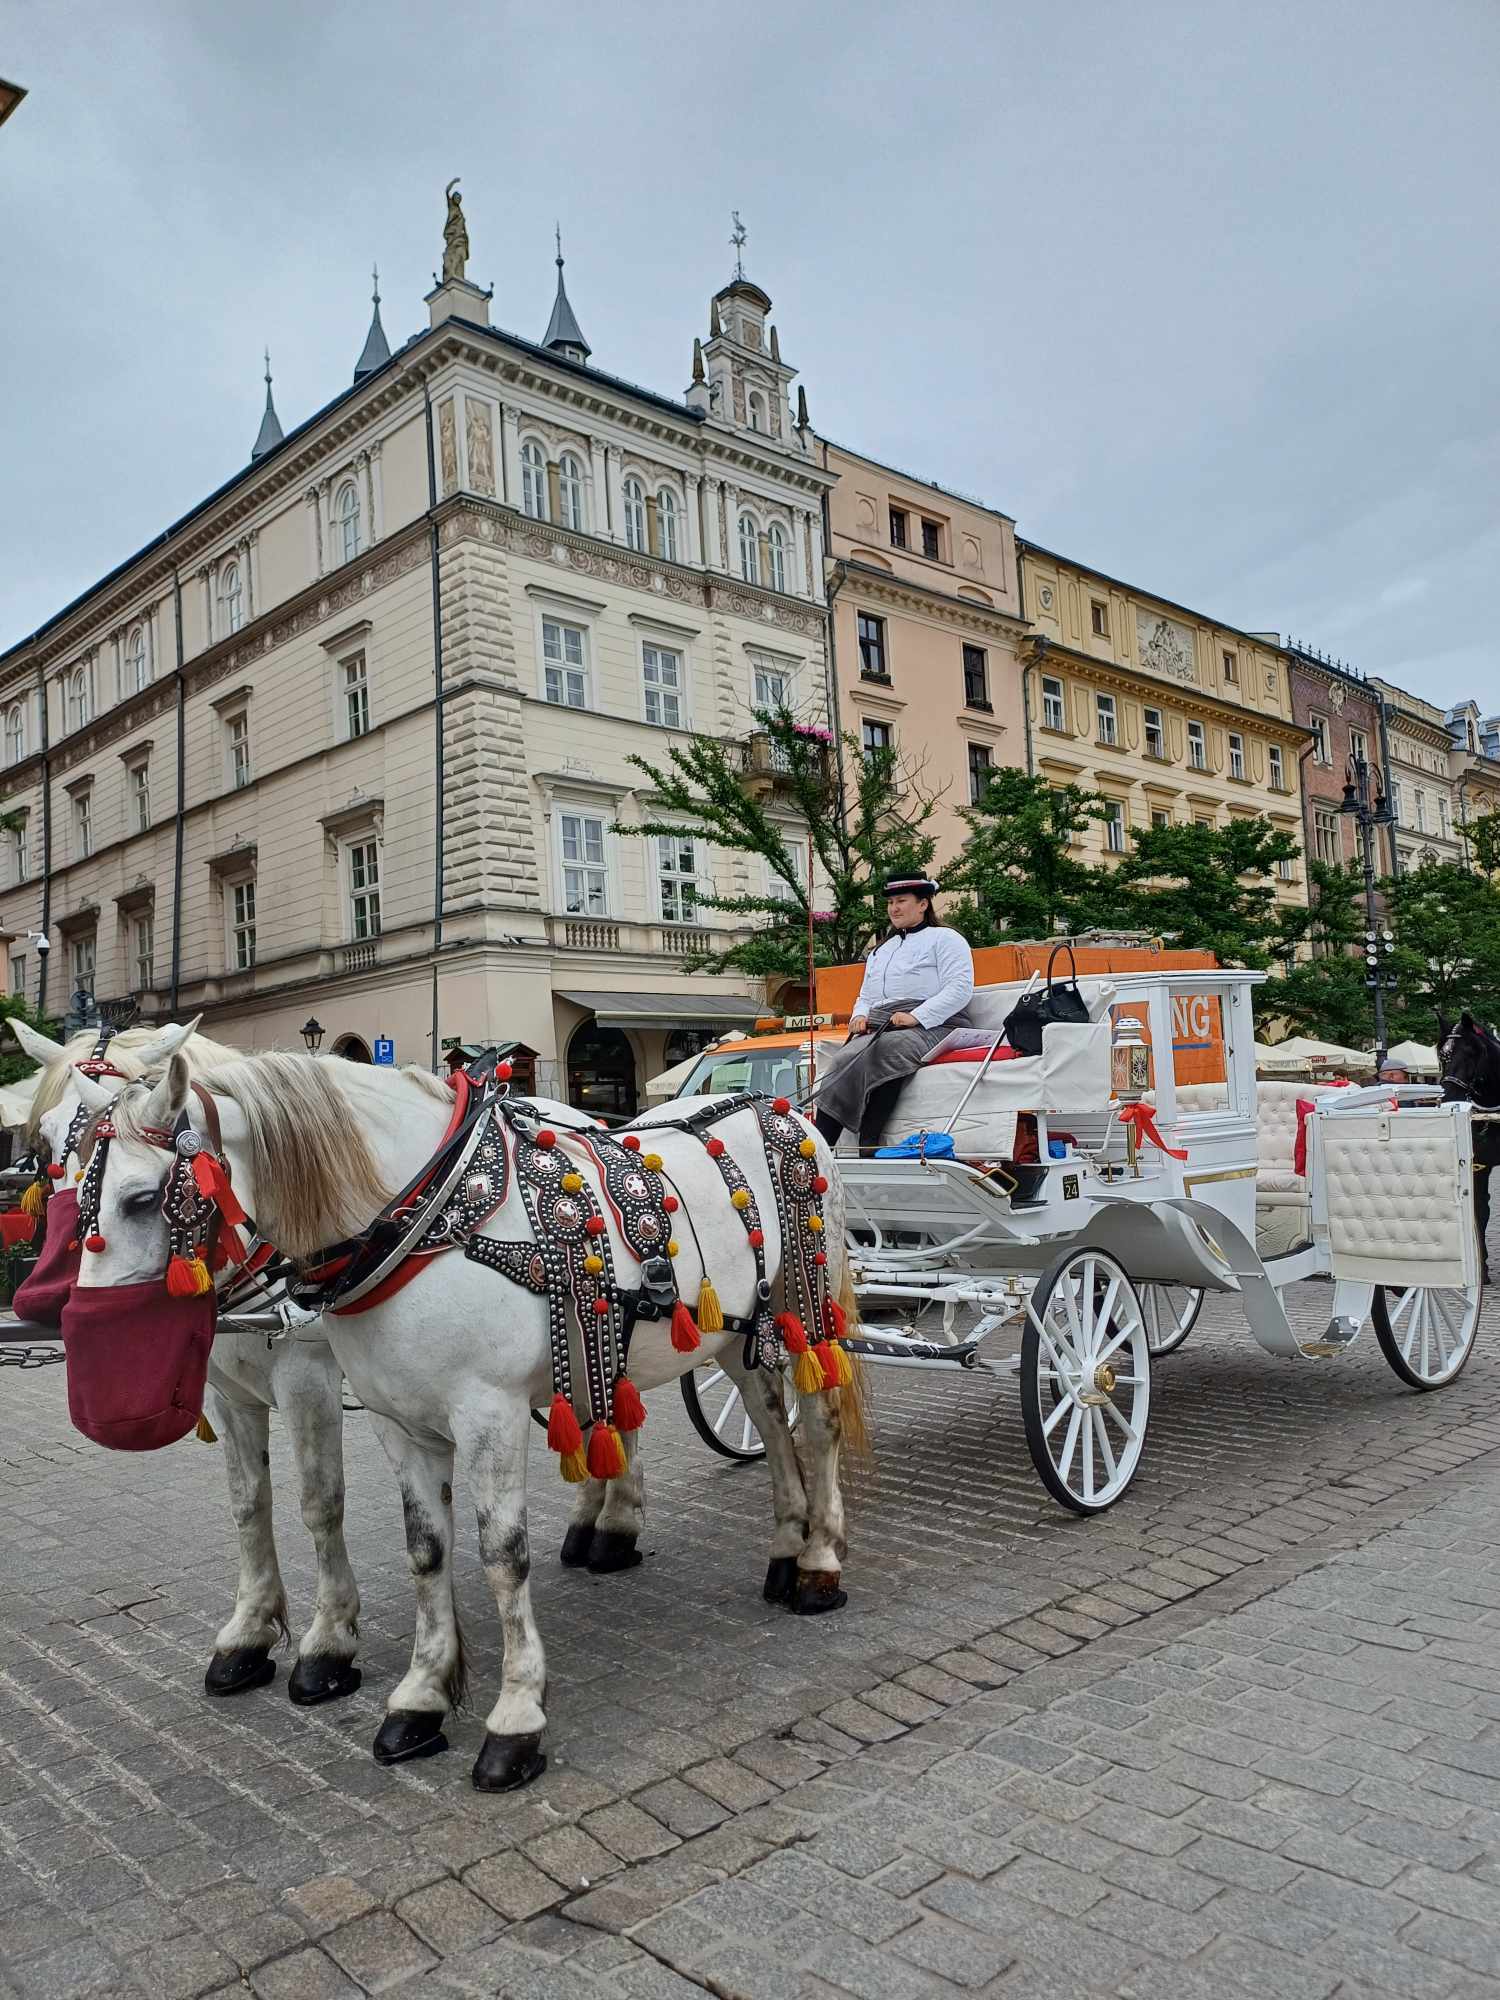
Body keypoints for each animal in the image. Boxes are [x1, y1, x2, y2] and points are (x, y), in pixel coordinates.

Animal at [13, 1024, 364, 1712]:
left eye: (147, 1197)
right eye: (46, 1140)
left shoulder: (308, 1382)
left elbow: (320, 1501)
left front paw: (329, 1641)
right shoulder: (229, 1394)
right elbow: (248, 1501)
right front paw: (250, 1632)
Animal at [70, 1056, 864, 1792]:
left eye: (142, 1199)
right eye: (76, 1198)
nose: (86, 1342)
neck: (422, 1220)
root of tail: (780, 1105)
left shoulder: (486, 1413)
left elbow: (500, 1555)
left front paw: (515, 1716)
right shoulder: (397, 1423)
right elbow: (425, 1551)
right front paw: (421, 1697)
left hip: (805, 1311)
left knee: (817, 1427)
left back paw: (819, 1564)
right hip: (733, 1334)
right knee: (770, 1422)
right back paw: (784, 1547)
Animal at [1432, 1016, 1500, 1280]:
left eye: (1472, 1051)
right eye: (1442, 1055)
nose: (1449, 1096)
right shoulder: (1479, 1166)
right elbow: (1480, 1208)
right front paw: (1482, 1267)